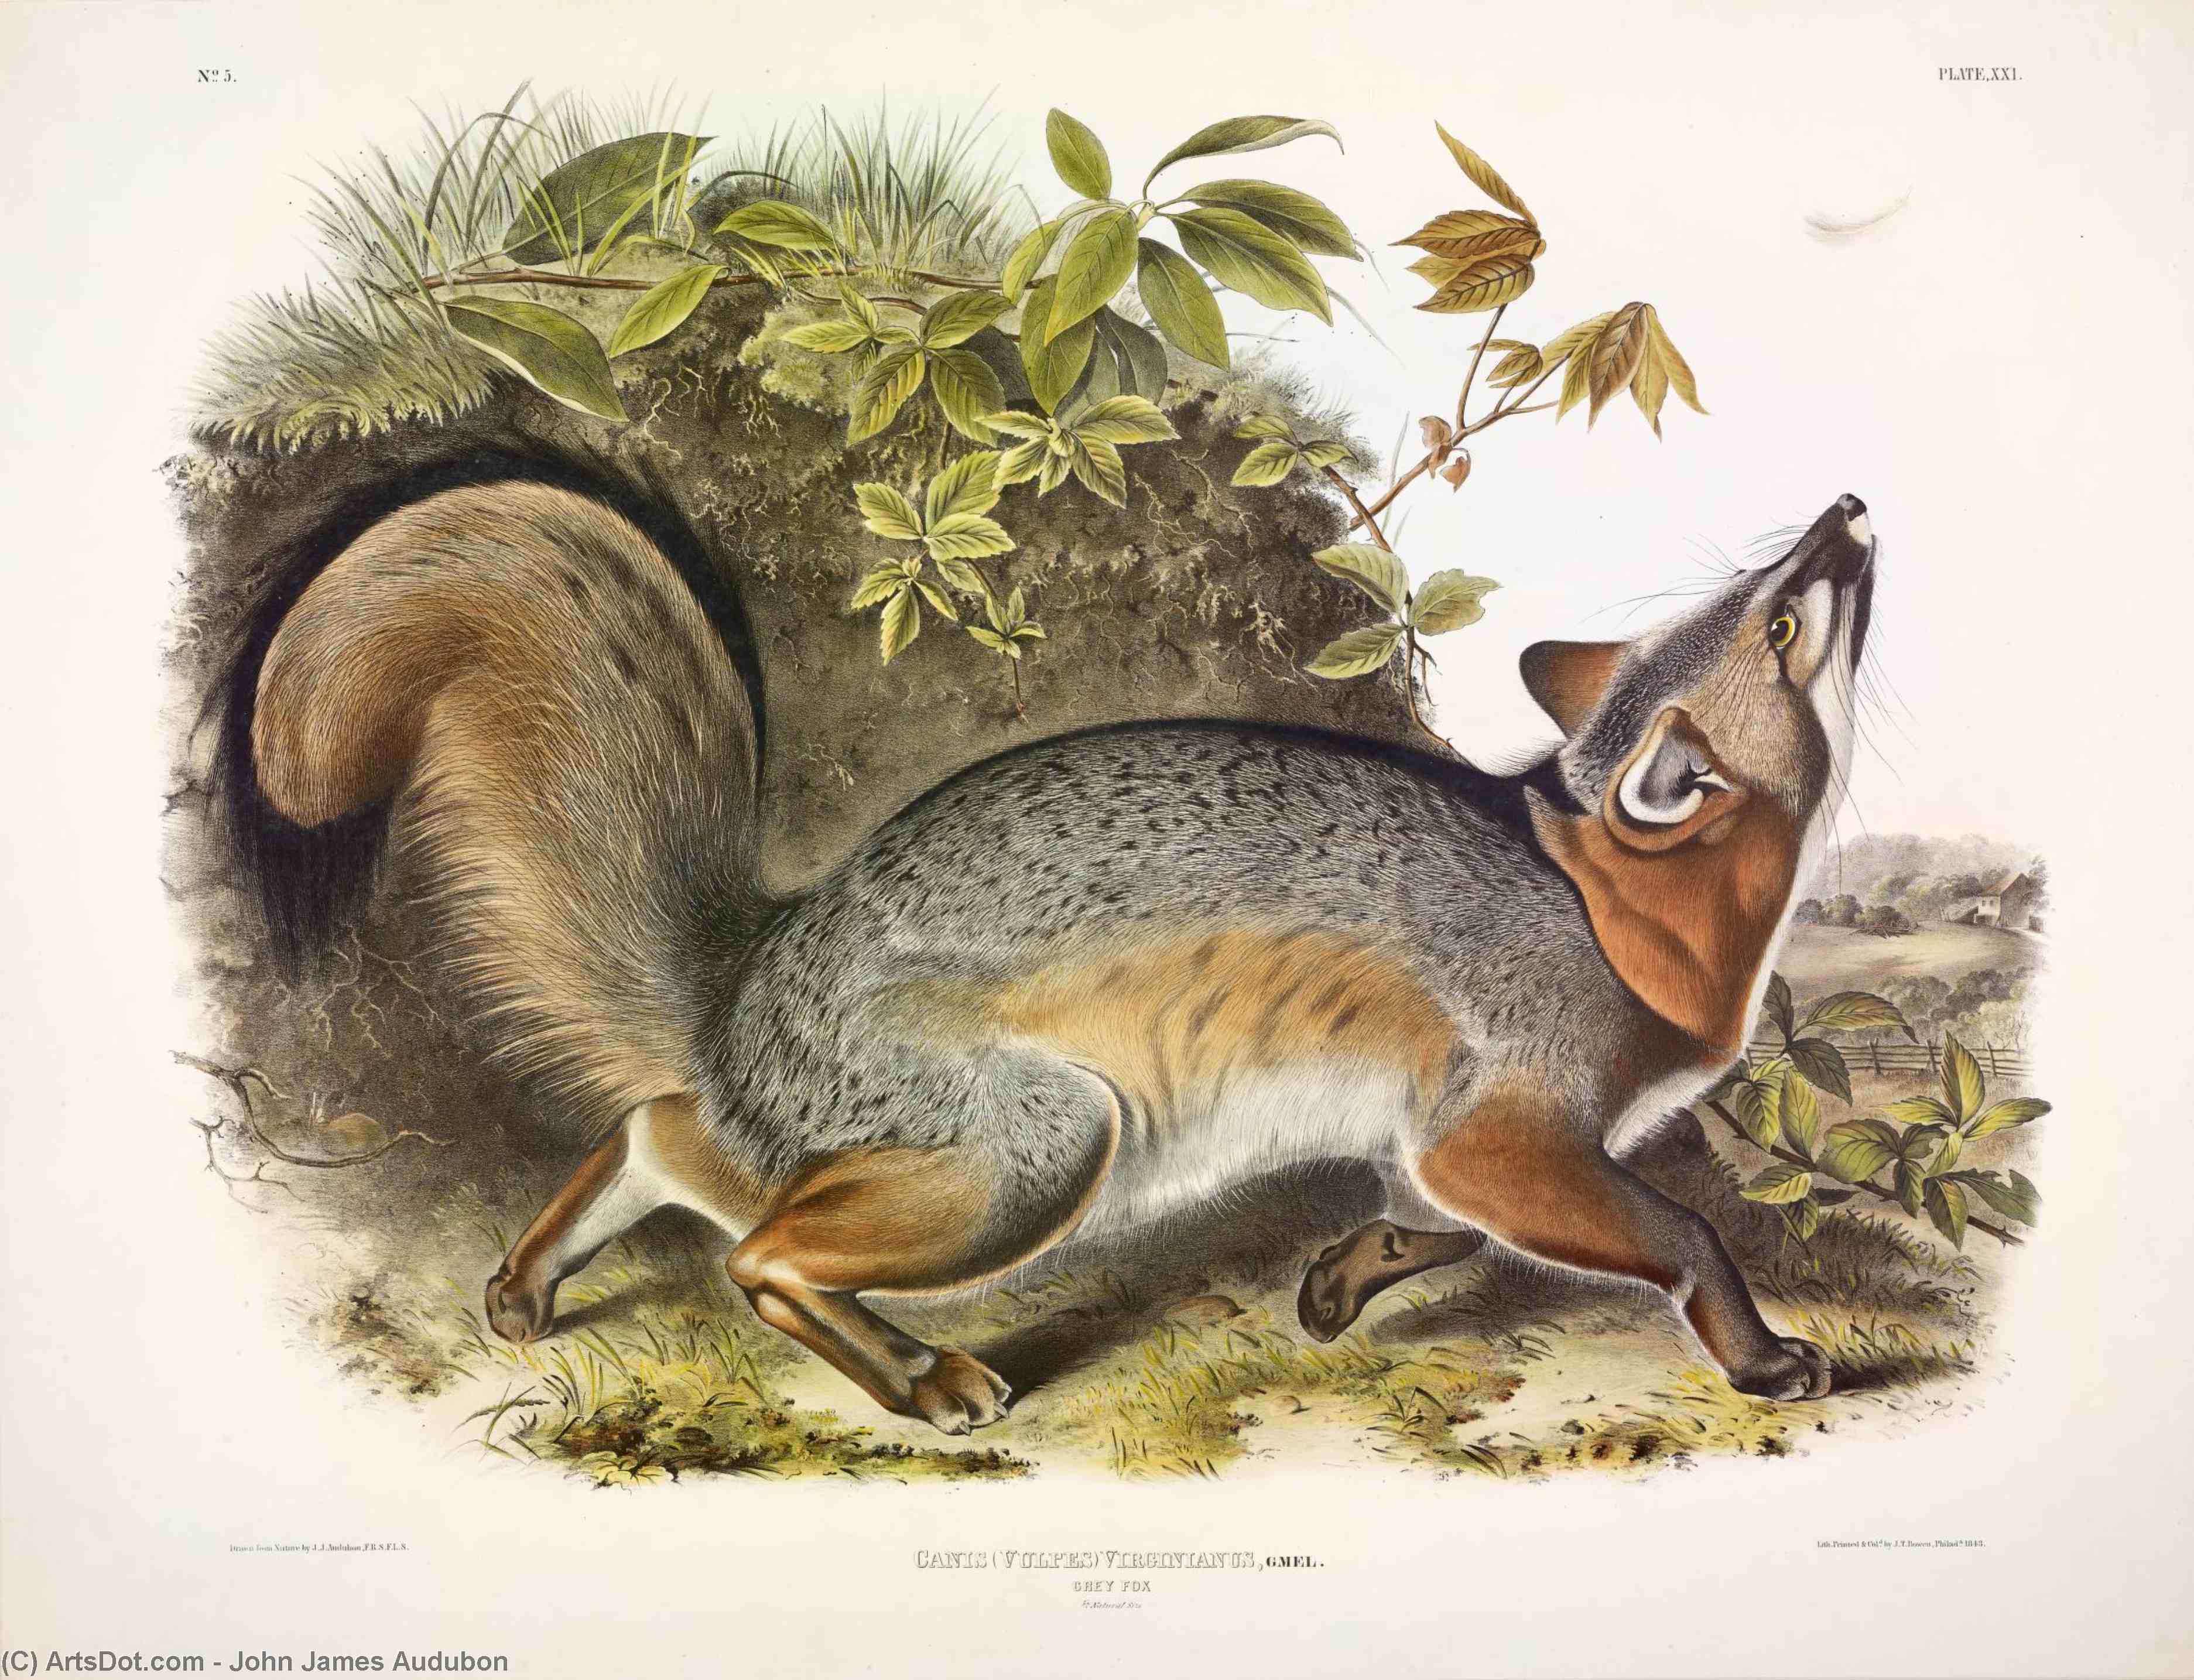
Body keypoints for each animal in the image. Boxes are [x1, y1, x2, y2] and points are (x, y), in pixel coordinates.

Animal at [230, 476, 1875, 1433]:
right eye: (1781, 619)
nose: (1850, 507)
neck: (1606, 895)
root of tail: (761, 963)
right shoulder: (1504, 1127)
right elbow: (1682, 1231)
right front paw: (1758, 1355)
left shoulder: (1445, 1138)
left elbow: (1437, 1226)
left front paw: (1339, 1284)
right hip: (1042, 1148)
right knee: (756, 1250)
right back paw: (920, 1379)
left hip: (937, 1154)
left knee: (663, 1131)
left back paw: (533, 1281)